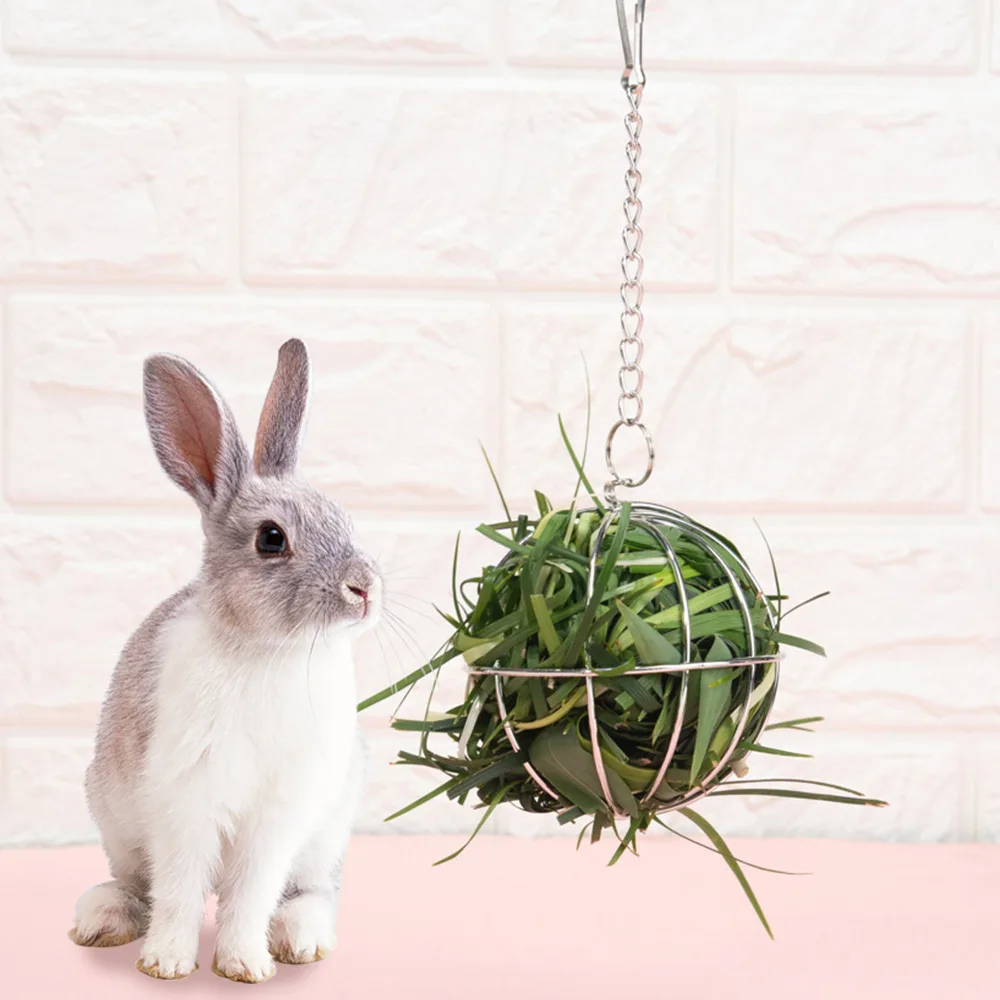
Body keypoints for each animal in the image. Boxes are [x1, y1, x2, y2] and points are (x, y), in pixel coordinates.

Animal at [69, 338, 380, 983]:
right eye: (271, 539)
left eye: (344, 517)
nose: (365, 589)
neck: (268, 651)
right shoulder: (184, 801)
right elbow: (180, 890)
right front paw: (165, 963)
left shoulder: (278, 816)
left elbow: (251, 894)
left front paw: (244, 965)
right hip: (115, 822)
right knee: (137, 886)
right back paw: (102, 920)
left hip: (325, 837)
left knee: (311, 892)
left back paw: (301, 940)